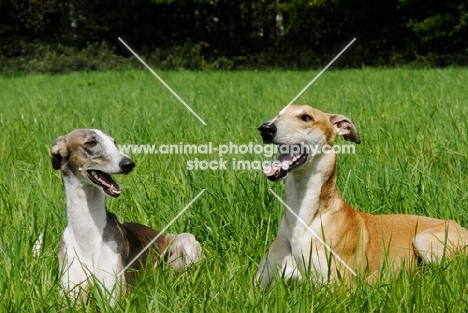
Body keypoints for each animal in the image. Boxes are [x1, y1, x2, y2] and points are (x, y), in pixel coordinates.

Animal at [256, 105, 468, 286]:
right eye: (279, 114)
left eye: (306, 117)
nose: (265, 129)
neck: (302, 219)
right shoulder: (258, 287)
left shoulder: (338, 289)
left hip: (424, 240)